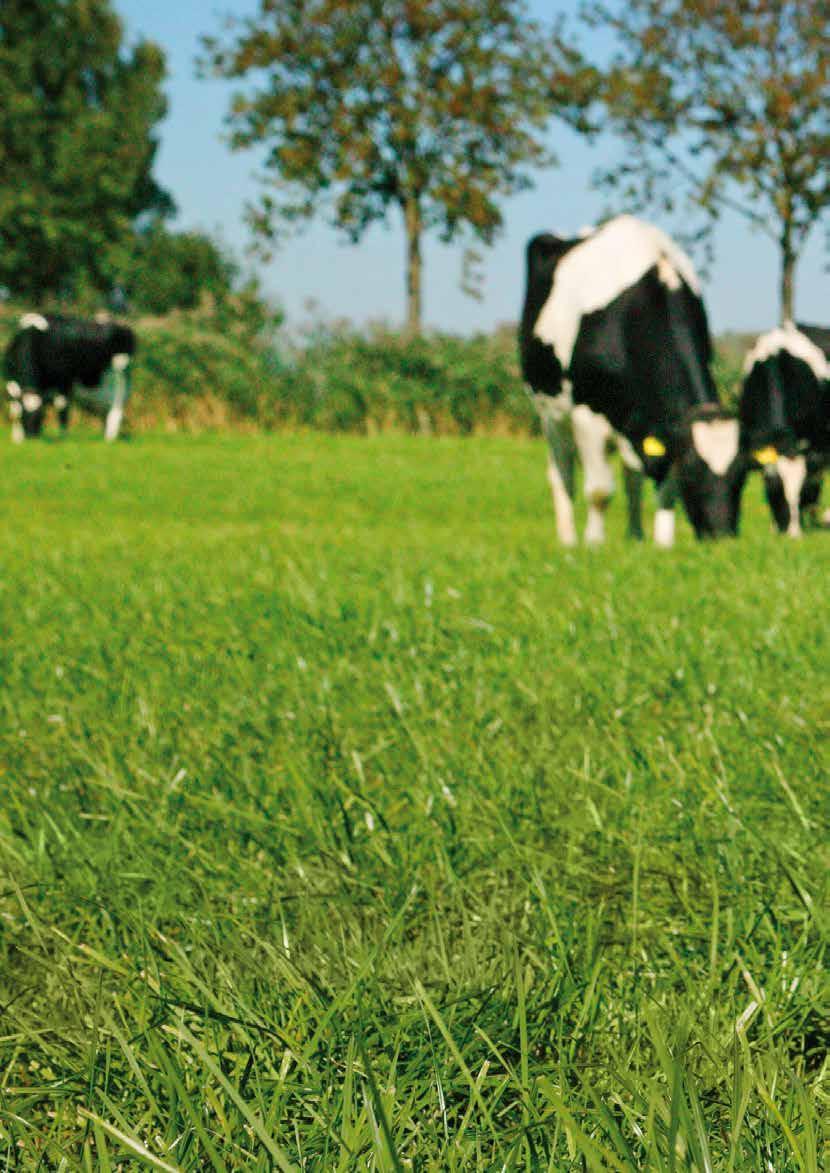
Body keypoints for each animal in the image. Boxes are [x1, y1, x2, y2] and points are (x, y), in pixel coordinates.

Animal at [4, 312, 134, 441]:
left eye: (41, 415)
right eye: (23, 415)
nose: (32, 437)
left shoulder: (64, 380)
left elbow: (62, 407)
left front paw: (63, 437)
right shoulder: (12, 381)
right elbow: (14, 409)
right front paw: (17, 438)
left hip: (121, 371)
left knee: (117, 404)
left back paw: (110, 438)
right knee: (104, 407)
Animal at [518, 215, 745, 544]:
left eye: (743, 471)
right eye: (692, 471)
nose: (722, 535)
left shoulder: (661, 427)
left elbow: (664, 490)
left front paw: (663, 543)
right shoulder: (587, 417)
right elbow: (599, 490)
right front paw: (594, 543)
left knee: (631, 478)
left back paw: (635, 535)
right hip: (550, 411)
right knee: (562, 474)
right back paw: (568, 538)